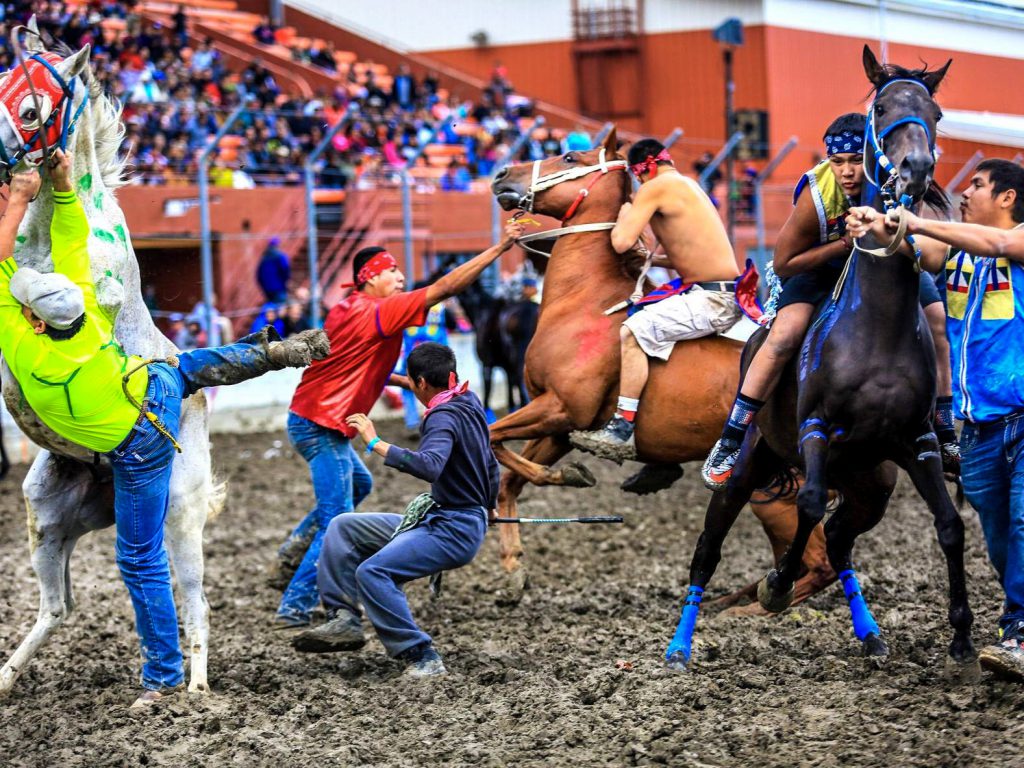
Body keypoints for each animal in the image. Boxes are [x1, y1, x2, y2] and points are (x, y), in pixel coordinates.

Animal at [0, 27, 224, 696]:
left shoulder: (95, 297)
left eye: (30, 109)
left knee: (194, 601)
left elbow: (45, 293)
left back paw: (196, 692)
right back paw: (6, 677)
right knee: (58, 607)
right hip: (46, 513)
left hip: (179, 514)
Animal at [485, 129, 831, 606]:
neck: (585, 303)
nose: (502, 173)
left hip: (771, 490)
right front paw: (514, 567)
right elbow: (508, 478)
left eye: (570, 156)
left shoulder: (562, 408)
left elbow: (493, 437)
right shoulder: (558, 426)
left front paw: (575, 472)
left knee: (817, 563)